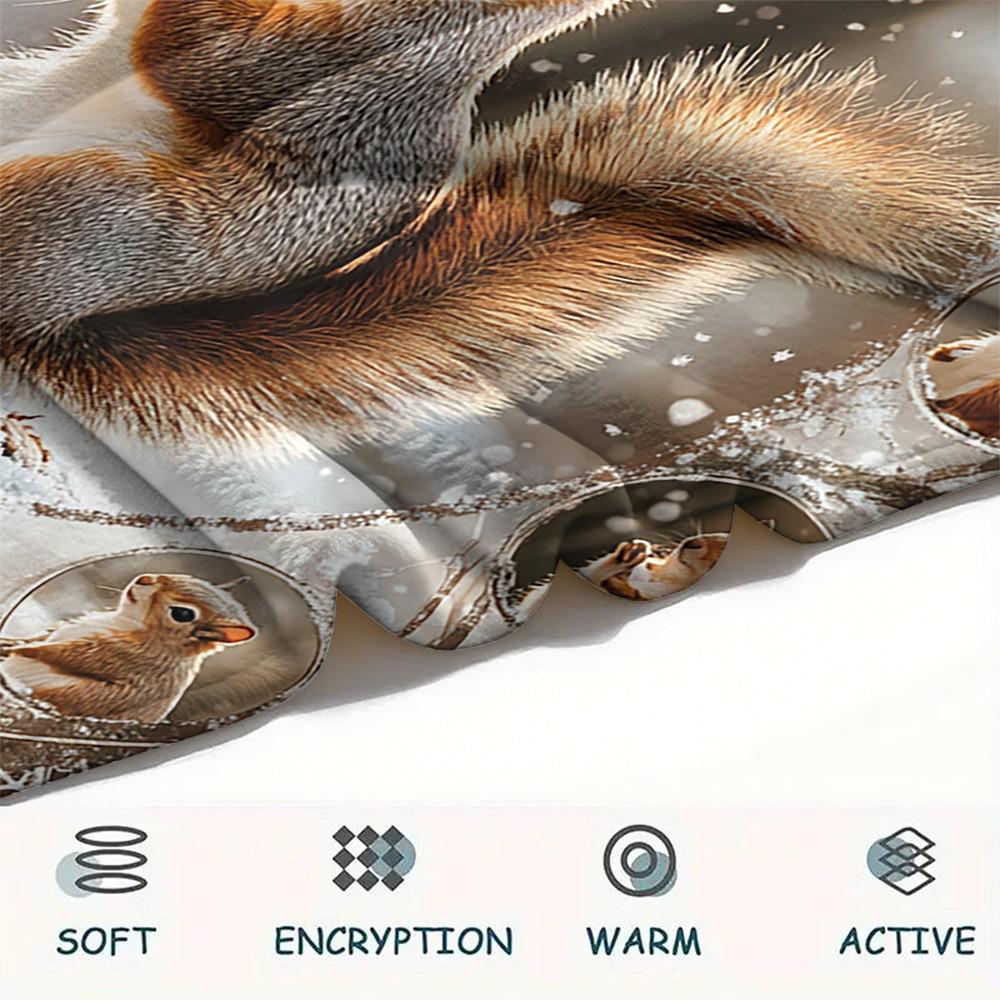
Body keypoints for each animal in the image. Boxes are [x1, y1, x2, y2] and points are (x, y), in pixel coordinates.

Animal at [0, 573, 257, 722]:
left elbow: (65, 655)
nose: (144, 579)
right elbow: (41, 638)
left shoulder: (124, 657)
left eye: (182, 614)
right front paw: (11, 643)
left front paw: (18, 650)